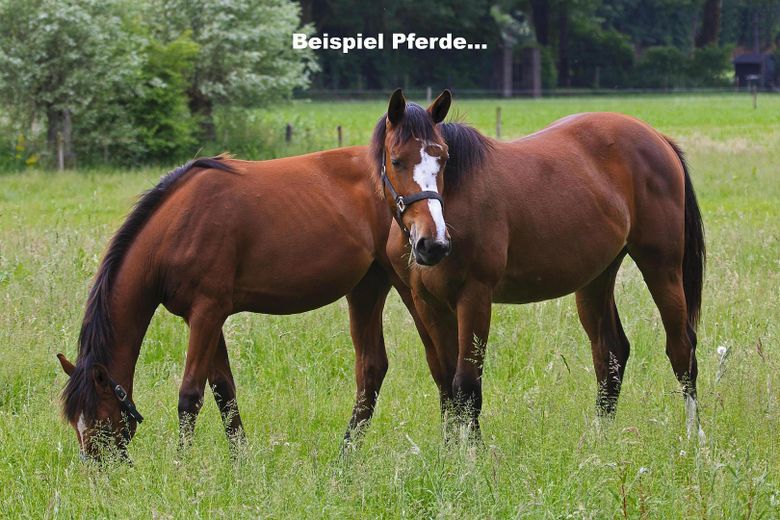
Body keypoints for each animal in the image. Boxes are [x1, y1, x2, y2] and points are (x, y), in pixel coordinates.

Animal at [56, 151, 440, 460]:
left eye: (99, 420)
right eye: (75, 423)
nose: (98, 472)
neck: (177, 226)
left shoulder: (207, 313)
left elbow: (190, 395)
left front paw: (182, 464)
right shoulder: (203, 318)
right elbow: (223, 391)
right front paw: (240, 460)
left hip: (406, 286)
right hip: (366, 289)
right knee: (372, 368)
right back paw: (347, 454)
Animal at [372, 89, 706, 440]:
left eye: (444, 159)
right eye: (397, 160)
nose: (433, 244)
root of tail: (657, 138)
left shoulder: (474, 298)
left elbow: (466, 385)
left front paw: (471, 454)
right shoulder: (428, 304)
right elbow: (445, 384)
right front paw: (450, 450)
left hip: (662, 267)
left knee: (682, 349)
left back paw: (694, 437)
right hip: (596, 278)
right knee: (610, 351)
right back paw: (600, 440)